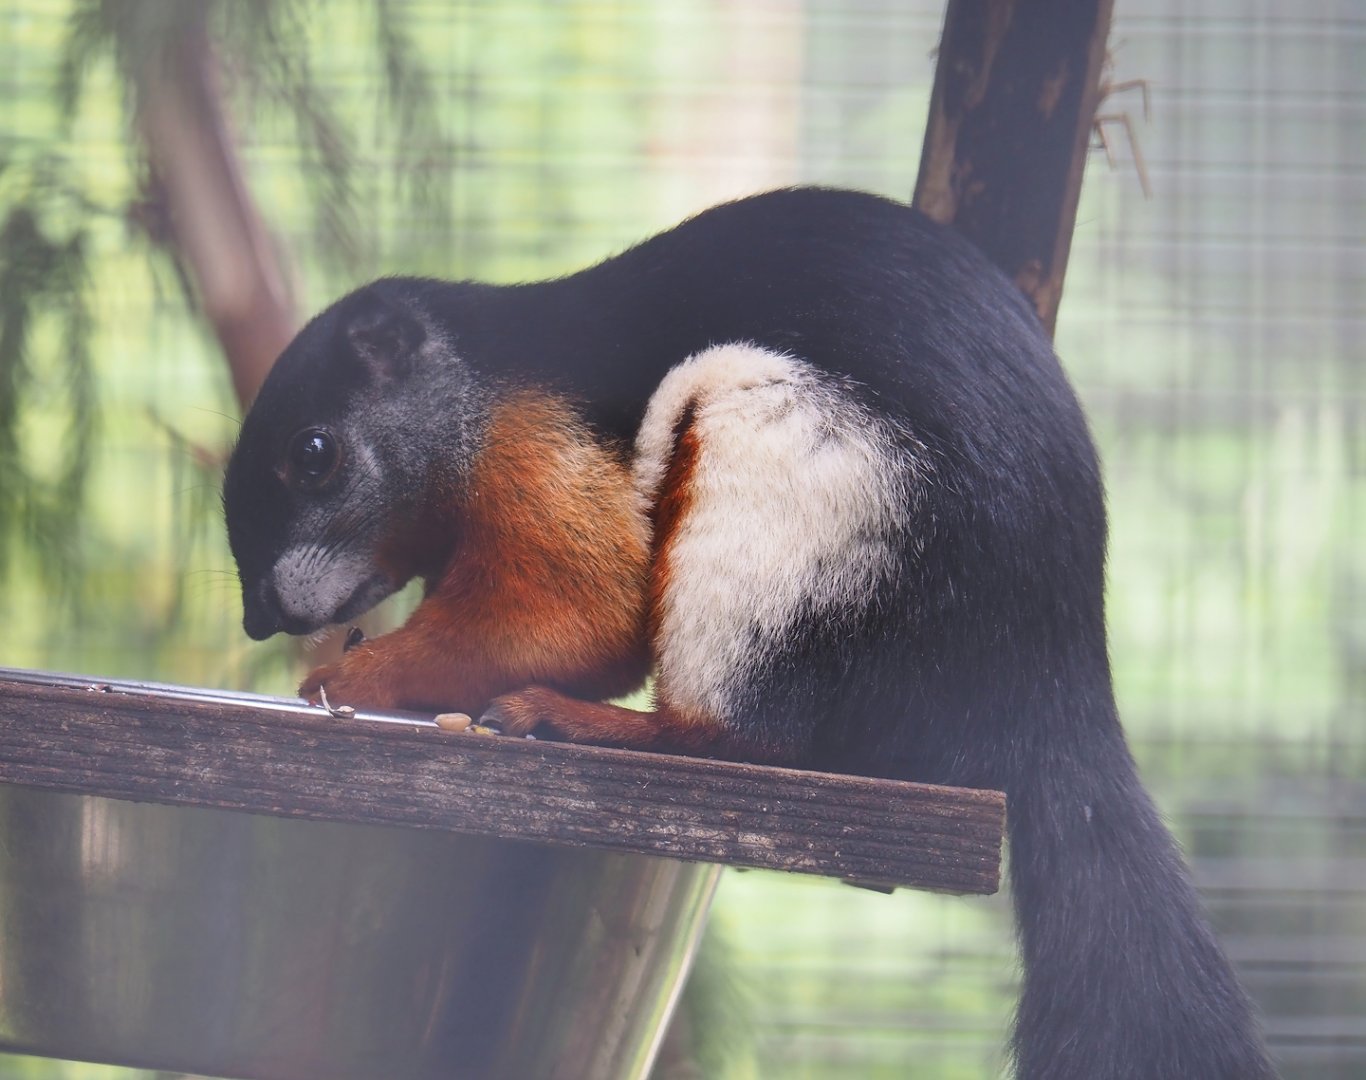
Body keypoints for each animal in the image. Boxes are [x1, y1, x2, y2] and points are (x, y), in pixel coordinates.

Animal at [223, 187, 1276, 1080]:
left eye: (314, 455)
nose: (258, 616)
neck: (478, 393)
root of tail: (1051, 674)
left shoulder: (546, 453)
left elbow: (578, 611)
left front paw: (360, 678)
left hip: (784, 478)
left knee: (739, 738)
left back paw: (595, 726)